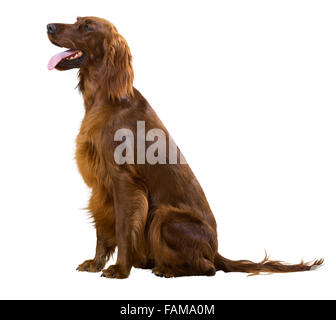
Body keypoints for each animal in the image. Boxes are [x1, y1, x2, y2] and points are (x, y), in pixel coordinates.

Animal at [47, 16, 322, 278]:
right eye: (76, 20)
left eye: (87, 27)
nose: (48, 26)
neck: (105, 98)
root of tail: (216, 250)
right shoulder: (100, 186)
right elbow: (102, 231)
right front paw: (95, 264)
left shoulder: (124, 181)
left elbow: (123, 230)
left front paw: (120, 270)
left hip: (164, 216)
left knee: (208, 268)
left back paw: (168, 270)